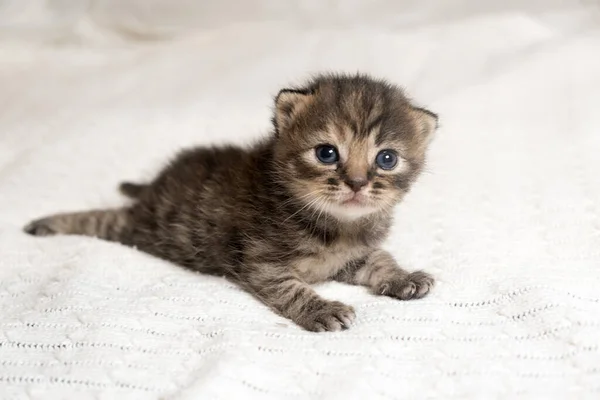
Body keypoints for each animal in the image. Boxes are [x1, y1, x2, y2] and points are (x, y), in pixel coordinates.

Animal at [24, 72, 436, 332]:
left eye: (386, 158)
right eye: (326, 153)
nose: (356, 183)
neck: (336, 225)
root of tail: (156, 185)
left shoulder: (353, 255)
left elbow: (380, 260)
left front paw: (404, 277)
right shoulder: (261, 262)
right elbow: (292, 289)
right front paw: (322, 309)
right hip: (146, 228)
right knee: (101, 220)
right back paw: (45, 224)